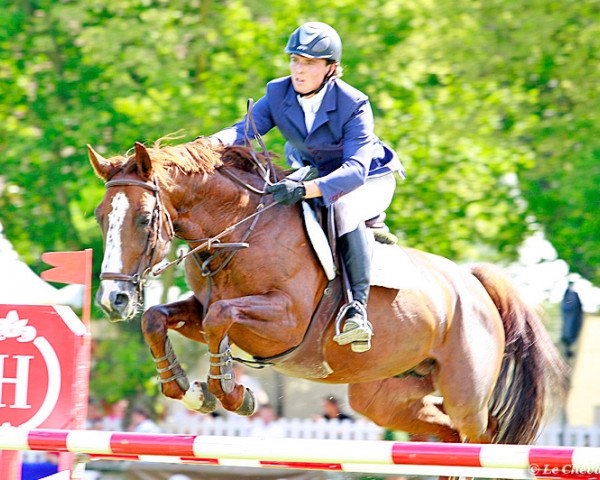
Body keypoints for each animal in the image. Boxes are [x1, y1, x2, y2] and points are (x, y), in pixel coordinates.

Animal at [89, 137, 568, 444]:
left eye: (145, 219)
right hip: (384, 397)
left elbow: (219, 320)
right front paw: (189, 390)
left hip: (466, 394)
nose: (113, 302)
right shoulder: (200, 307)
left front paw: (234, 394)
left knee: (484, 436)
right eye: (100, 216)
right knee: (446, 434)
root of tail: (473, 283)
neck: (240, 231)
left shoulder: (284, 322)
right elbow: (160, 318)